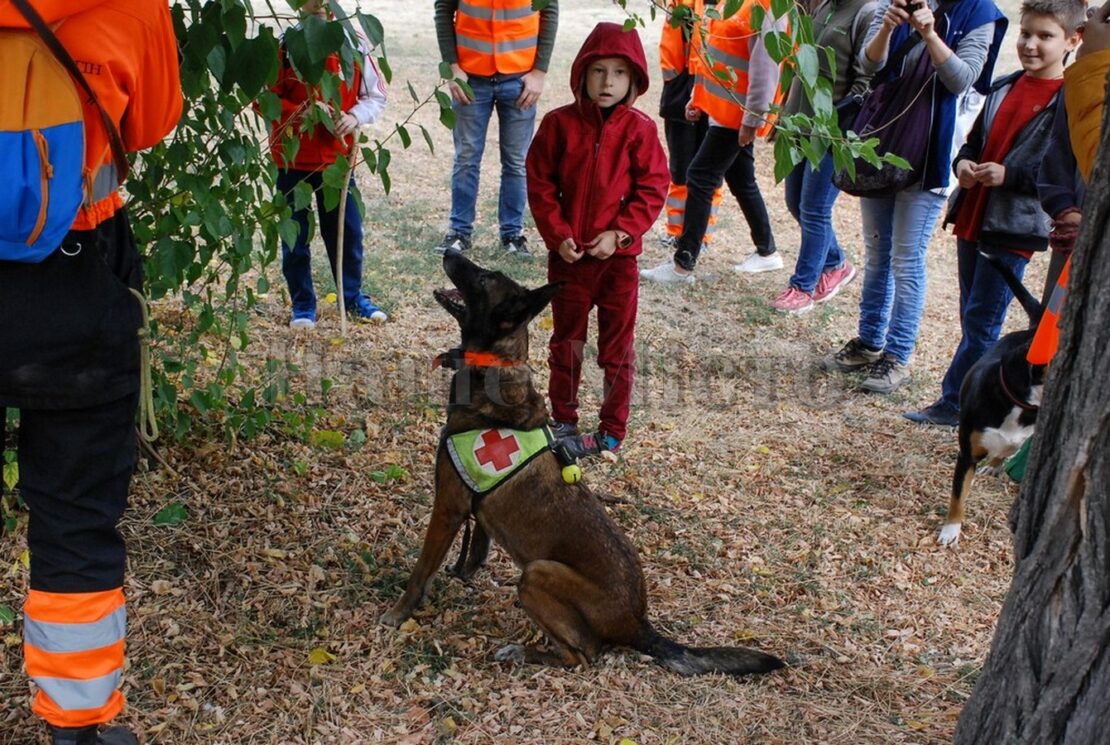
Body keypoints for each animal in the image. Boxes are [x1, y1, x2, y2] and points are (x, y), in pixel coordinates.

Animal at [379, 250, 781, 675]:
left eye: (485, 278)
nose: (449, 250)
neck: (495, 366)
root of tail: (638, 623)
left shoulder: (448, 507)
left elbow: (422, 568)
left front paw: (398, 612)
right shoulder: (475, 512)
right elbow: (475, 553)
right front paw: (461, 576)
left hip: (537, 572)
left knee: (584, 655)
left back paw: (522, 652)